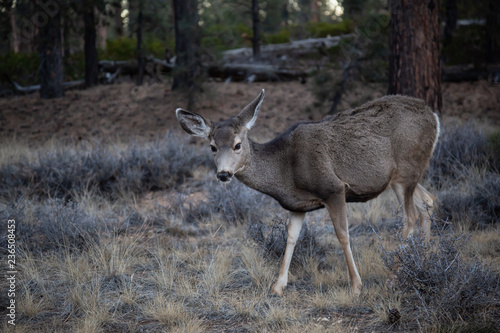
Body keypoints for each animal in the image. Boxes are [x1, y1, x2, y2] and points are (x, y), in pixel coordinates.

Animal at [175, 89, 438, 294]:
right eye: (212, 147)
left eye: (237, 145)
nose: (223, 174)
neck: (285, 170)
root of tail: (433, 116)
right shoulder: (297, 205)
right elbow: (291, 238)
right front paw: (278, 286)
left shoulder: (333, 188)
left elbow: (343, 234)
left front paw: (355, 285)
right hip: (403, 175)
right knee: (428, 201)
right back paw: (423, 262)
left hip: (406, 168)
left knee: (410, 216)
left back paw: (394, 278)